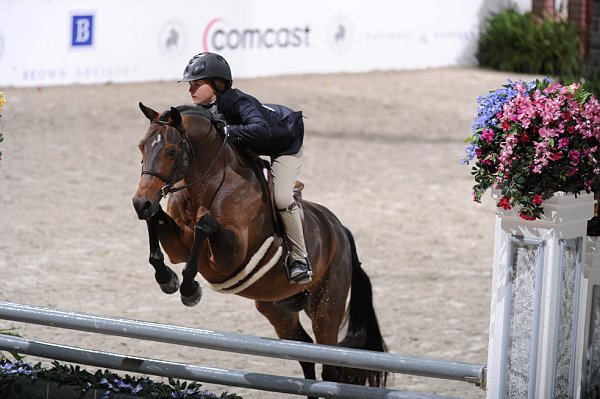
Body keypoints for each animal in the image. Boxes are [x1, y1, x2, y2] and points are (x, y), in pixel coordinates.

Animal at [130, 103, 390, 394]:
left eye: (171, 151)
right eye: (141, 147)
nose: (140, 202)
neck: (205, 185)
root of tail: (340, 230)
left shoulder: (230, 256)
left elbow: (205, 225)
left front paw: (189, 289)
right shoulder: (177, 247)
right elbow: (157, 225)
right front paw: (168, 279)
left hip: (326, 308)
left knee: (330, 364)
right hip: (278, 309)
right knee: (304, 352)